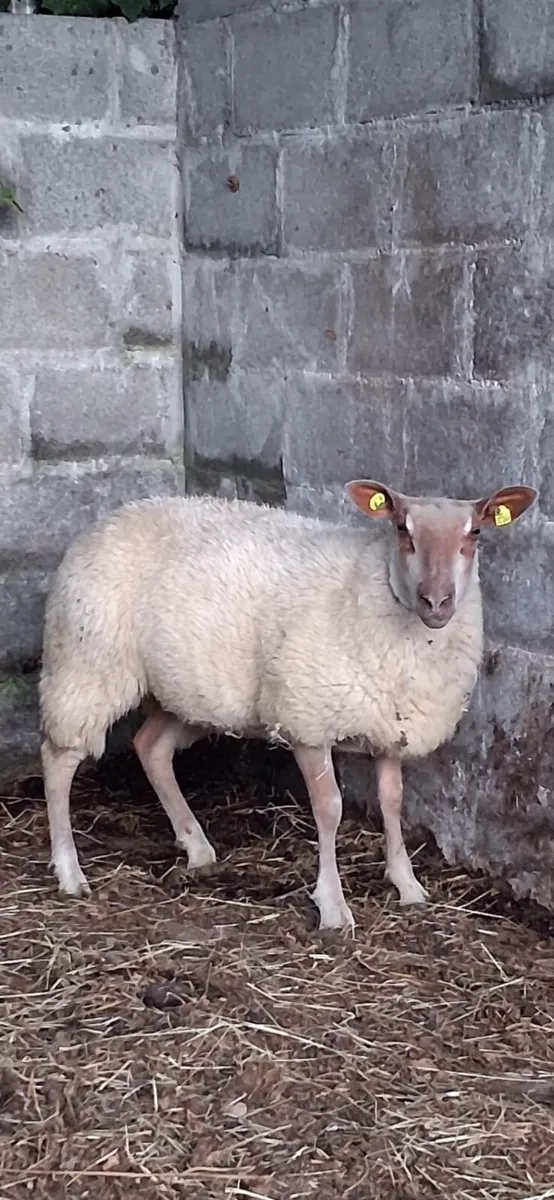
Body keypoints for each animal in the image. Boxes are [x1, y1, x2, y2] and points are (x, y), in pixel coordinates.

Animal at [38, 478, 537, 931]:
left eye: (475, 532)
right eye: (401, 527)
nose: (436, 601)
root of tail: (112, 516)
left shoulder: (390, 726)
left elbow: (392, 802)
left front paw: (407, 884)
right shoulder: (307, 721)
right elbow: (330, 810)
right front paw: (333, 906)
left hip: (186, 688)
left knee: (151, 747)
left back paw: (196, 846)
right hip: (87, 665)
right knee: (59, 758)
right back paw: (69, 871)